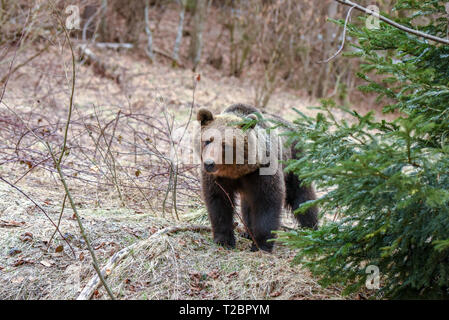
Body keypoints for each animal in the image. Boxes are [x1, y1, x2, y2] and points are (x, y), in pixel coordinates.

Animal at [194, 104, 316, 251]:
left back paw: (310, 228)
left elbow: (267, 201)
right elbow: (218, 202)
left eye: (225, 145)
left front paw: (261, 245)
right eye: (207, 141)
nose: (209, 163)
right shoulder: (217, 179)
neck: (236, 171)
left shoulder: (262, 171)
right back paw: (247, 232)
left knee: (302, 195)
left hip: (294, 161)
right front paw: (223, 241)